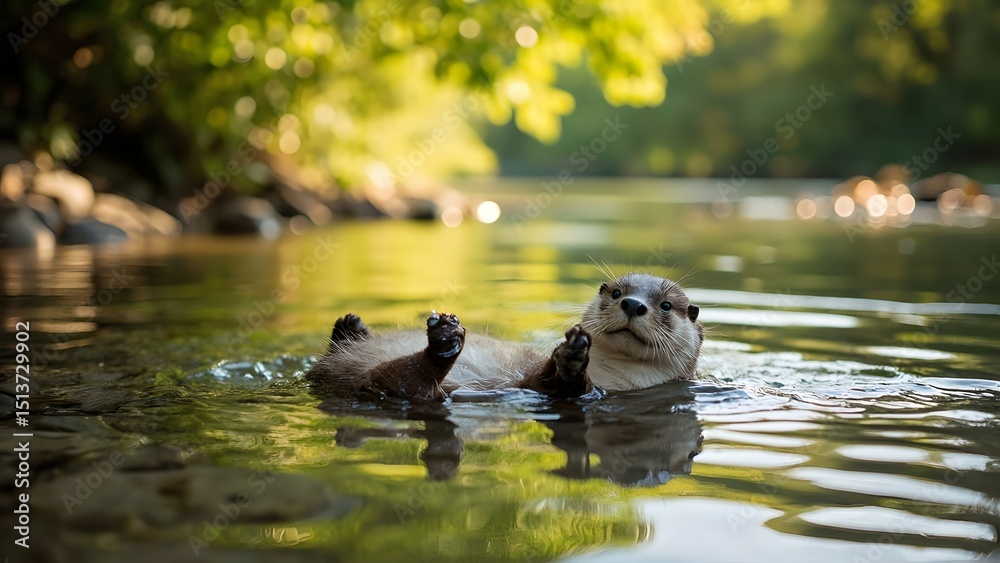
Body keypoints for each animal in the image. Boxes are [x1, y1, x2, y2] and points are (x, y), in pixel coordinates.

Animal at [304, 273, 703, 400]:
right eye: (617, 292)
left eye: (666, 305)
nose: (634, 304)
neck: (612, 377)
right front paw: (570, 351)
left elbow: (560, 386)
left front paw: (572, 359)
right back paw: (353, 327)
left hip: (397, 384)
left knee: (408, 377)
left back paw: (443, 342)